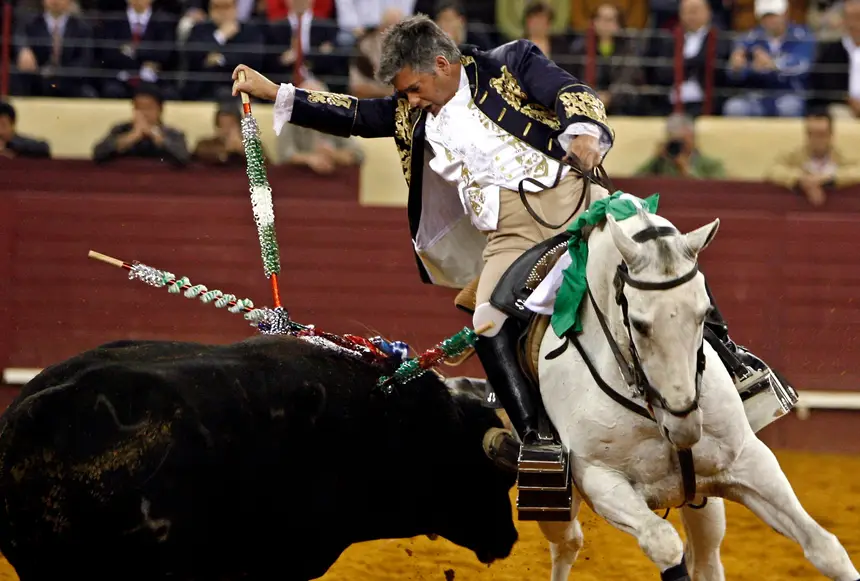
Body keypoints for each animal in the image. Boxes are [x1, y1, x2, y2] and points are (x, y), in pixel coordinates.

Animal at [536, 208, 856, 580]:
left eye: (705, 313)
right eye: (639, 323)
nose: (685, 425)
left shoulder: (748, 461)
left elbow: (824, 547)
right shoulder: (600, 480)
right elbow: (662, 542)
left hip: (704, 500)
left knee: (705, 557)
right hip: (551, 499)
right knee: (568, 543)